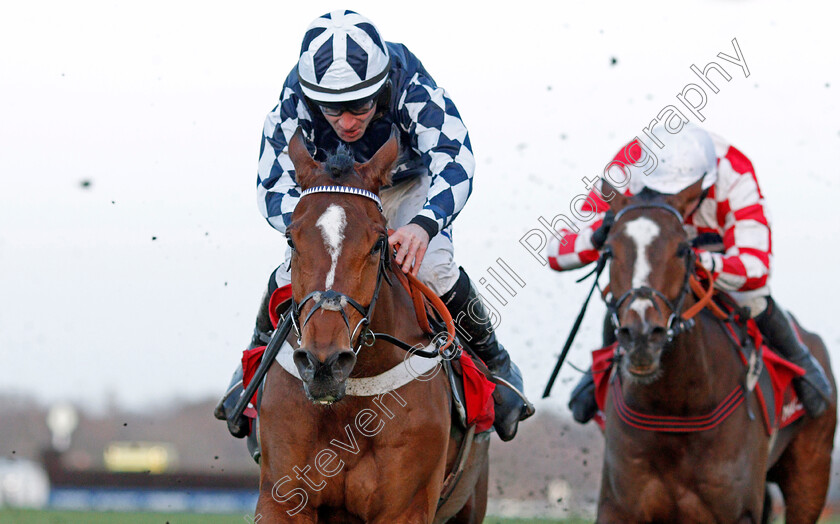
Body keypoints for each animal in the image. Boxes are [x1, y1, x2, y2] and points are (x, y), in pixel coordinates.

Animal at [256, 128, 492, 524]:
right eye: (291, 238)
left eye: (379, 242)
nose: (324, 363)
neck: (349, 405)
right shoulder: (282, 500)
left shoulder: (406, 507)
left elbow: (452, 152)